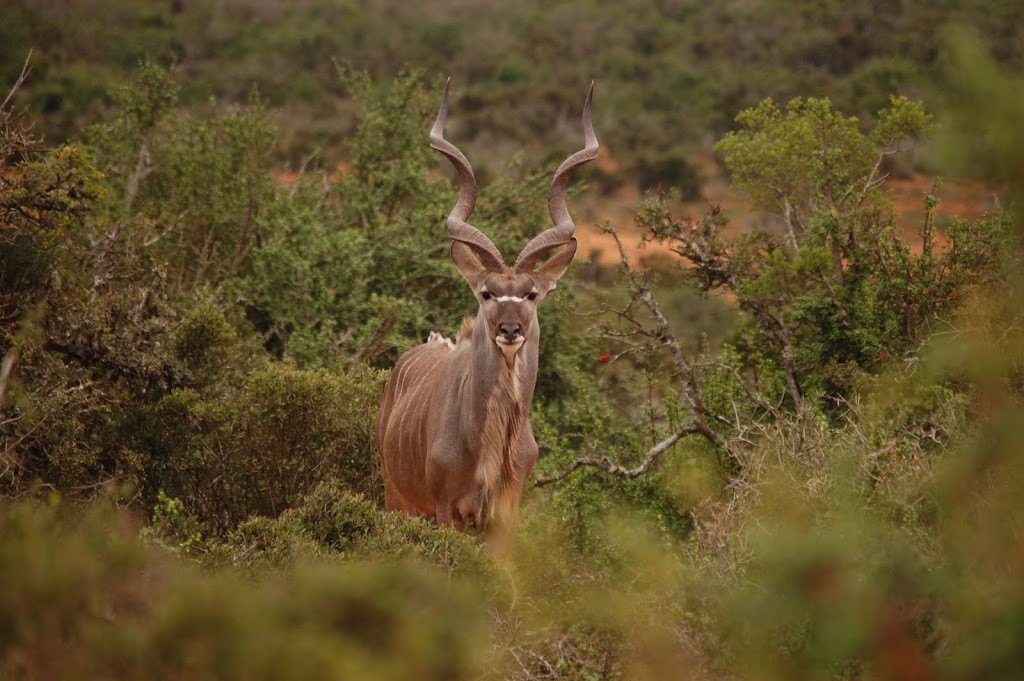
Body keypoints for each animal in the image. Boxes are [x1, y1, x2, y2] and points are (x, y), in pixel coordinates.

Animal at [380, 79, 598, 548]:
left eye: (532, 294)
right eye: (486, 293)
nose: (510, 329)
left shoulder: (504, 517)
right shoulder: (448, 512)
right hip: (397, 500)